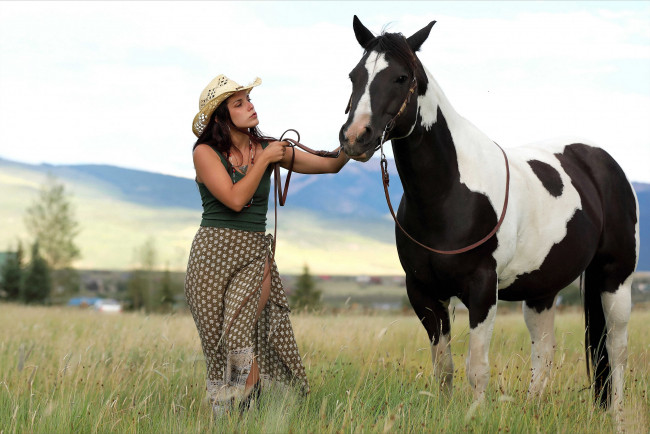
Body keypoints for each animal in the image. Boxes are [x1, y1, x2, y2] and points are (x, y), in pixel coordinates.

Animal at [340, 15, 636, 412]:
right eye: (355, 75)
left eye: (401, 77)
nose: (355, 137)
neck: (449, 193)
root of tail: (601, 160)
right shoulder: (423, 292)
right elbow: (444, 368)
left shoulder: (482, 288)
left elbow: (476, 368)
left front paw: (474, 415)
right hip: (541, 290)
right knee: (544, 353)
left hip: (615, 278)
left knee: (616, 350)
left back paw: (615, 415)